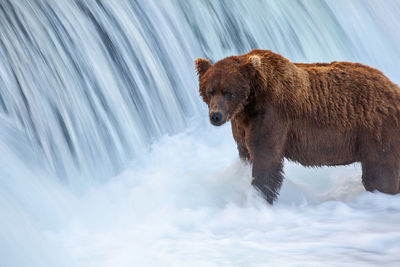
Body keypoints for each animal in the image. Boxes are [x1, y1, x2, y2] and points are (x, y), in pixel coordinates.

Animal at [195, 49, 400, 204]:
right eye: (210, 91)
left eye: (228, 92)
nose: (216, 116)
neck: (249, 103)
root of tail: (392, 88)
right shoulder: (241, 125)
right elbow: (245, 152)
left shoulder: (272, 116)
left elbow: (266, 158)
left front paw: (259, 198)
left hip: (376, 130)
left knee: (380, 173)